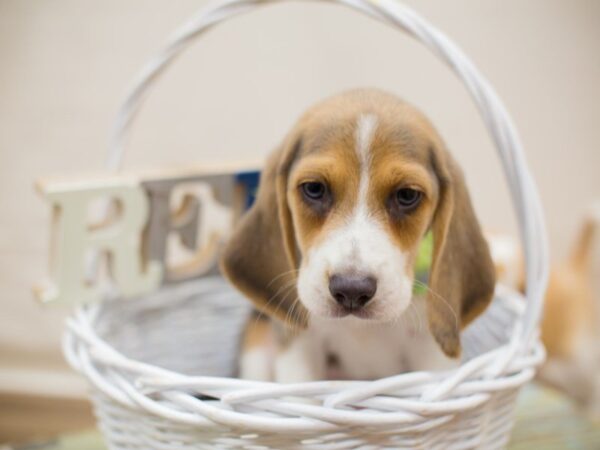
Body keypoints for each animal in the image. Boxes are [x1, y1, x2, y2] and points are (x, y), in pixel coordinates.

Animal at [218, 87, 494, 380]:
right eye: (314, 188)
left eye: (407, 195)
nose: (351, 290)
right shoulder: (300, 348)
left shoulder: (432, 356)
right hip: (255, 348)